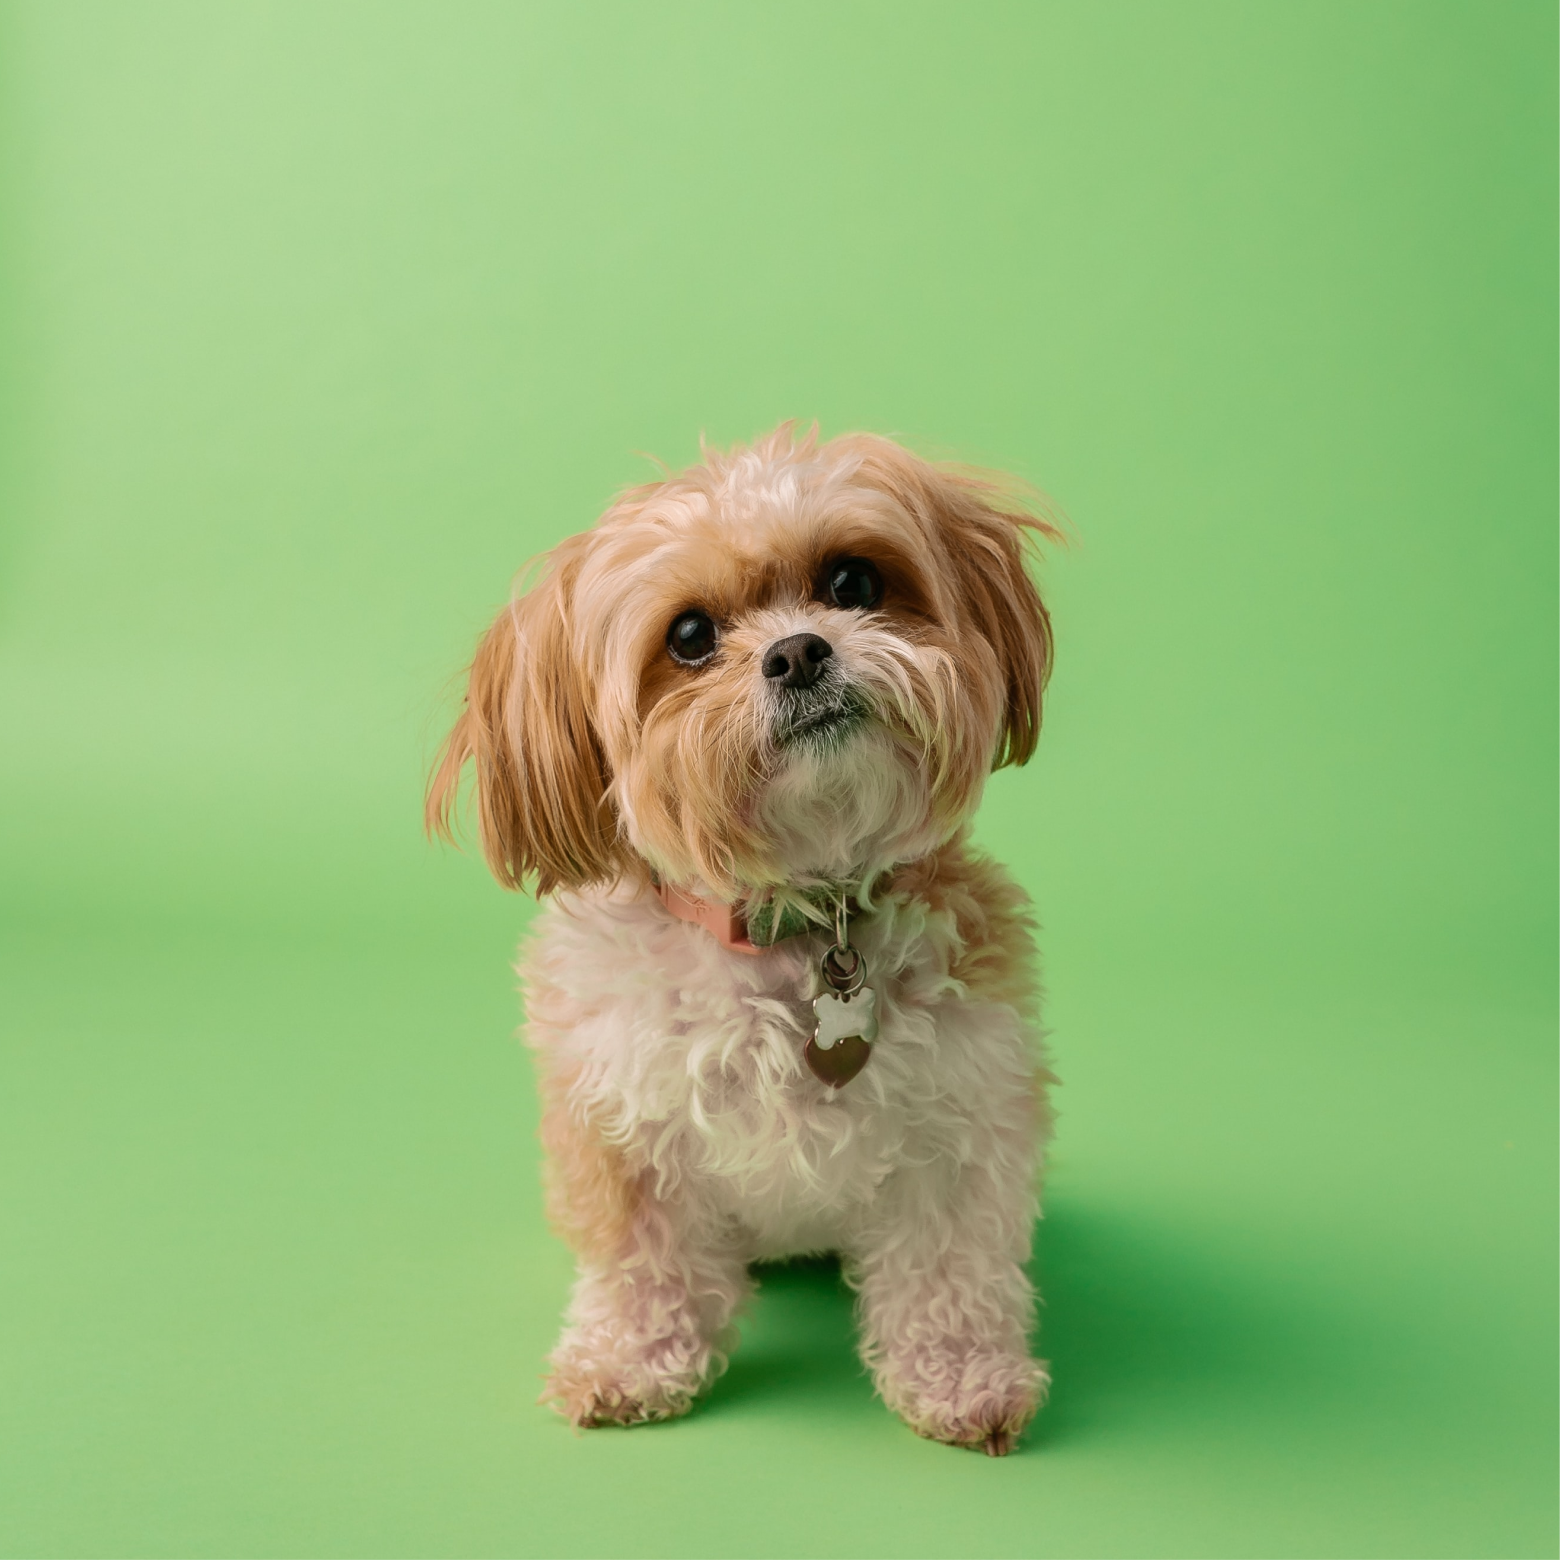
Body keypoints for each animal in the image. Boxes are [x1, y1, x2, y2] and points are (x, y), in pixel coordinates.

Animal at [427, 424, 1060, 1447]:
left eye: (852, 581)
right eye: (689, 638)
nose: (798, 651)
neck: (792, 919)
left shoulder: (959, 1128)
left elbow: (948, 1271)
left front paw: (963, 1376)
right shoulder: (624, 1128)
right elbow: (644, 1266)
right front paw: (629, 1361)